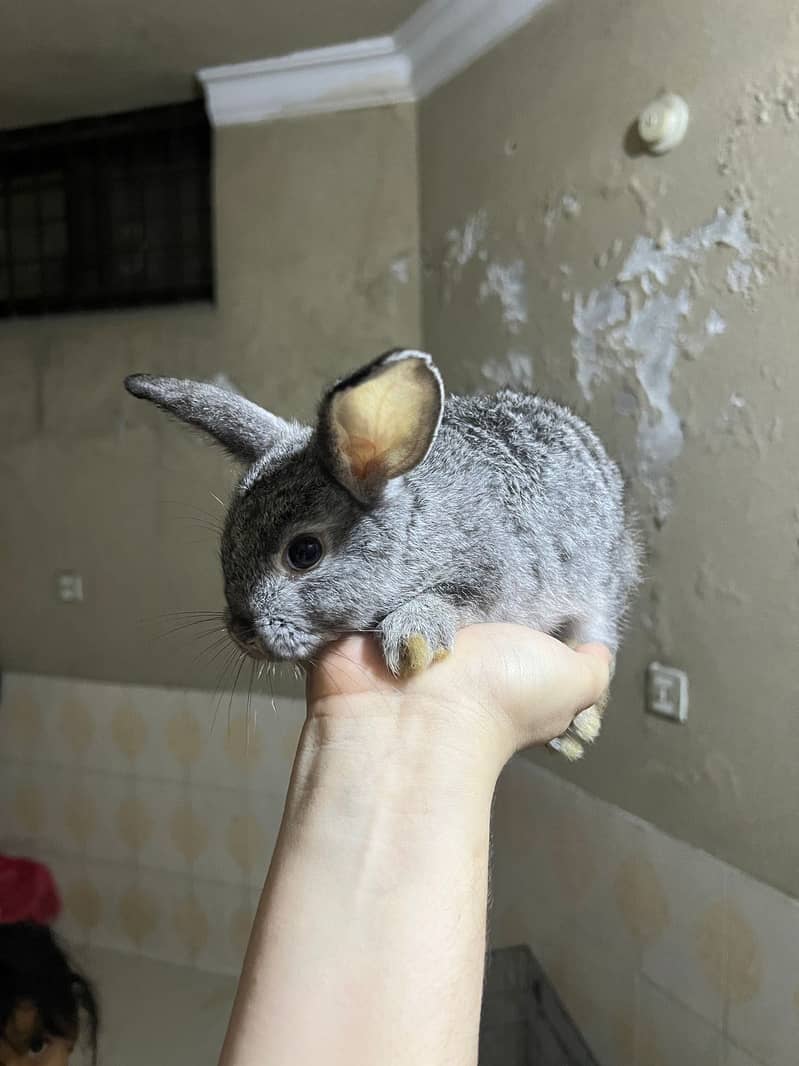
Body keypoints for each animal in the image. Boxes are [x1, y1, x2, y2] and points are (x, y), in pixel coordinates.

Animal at [124, 348, 640, 760]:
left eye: (304, 552)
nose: (242, 632)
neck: (412, 532)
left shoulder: (491, 572)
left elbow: (452, 598)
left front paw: (411, 642)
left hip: (601, 593)